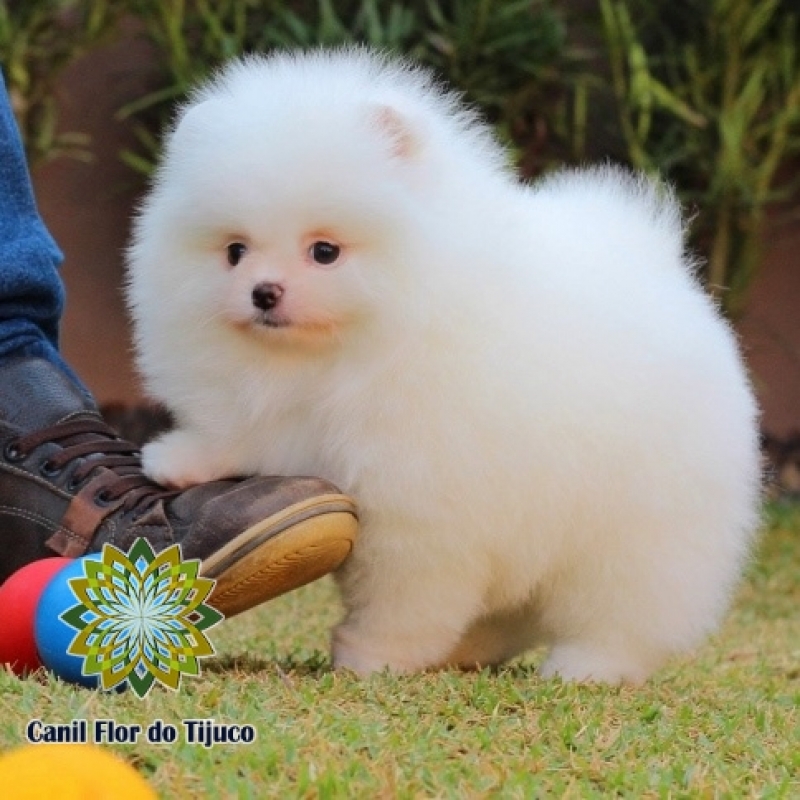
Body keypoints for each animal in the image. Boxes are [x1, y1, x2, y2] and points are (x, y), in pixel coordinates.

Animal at [126, 47, 764, 684]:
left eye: (325, 252)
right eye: (234, 251)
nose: (263, 292)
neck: (340, 359)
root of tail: (661, 271)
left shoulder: (419, 511)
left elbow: (403, 596)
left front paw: (371, 655)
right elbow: (245, 433)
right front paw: (182, 460)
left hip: (639, 534)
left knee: (620, 614)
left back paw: (585, 667)